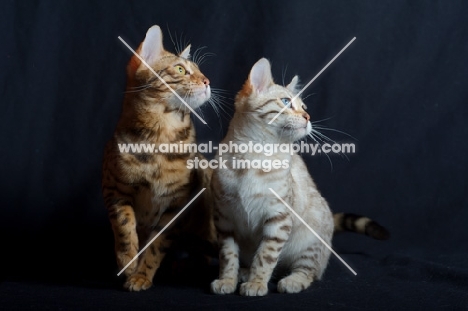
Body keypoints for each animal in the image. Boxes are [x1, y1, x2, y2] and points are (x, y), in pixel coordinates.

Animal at [102, 25, 216, 292]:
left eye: (200, 70)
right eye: (181, 69)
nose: (207, 81)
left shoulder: (176, 204)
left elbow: (156, 247)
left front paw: (141, 276)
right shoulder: (114, 190)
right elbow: (124, 227)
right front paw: (128, 262)